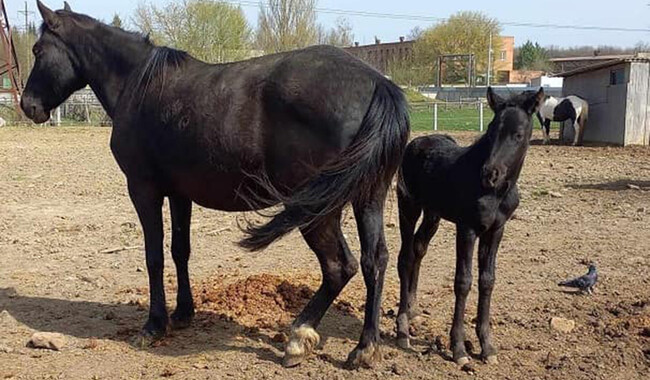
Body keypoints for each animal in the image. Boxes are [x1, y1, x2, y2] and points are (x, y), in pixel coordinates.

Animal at [22, 0, 408, 368]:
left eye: (38, 49)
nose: (28, 105)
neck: (139, 84)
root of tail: (378, 83)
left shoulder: (143, 190)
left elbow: (153, 256)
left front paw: (154, 325)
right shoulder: (179, 194)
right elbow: (180, 250)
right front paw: (182, 313)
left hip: (317, 209)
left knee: (339, 266)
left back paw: (299, 337)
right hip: (367, 199)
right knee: (374, 260)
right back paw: (365, 347)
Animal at [394, 87, 540, 366]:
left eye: (518, 134)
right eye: (492, 130)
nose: (490, 174)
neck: (496, 194)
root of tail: (417, 142)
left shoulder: (495, 230)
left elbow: (487, 280)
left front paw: (487, 347)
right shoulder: (467, 228)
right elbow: (463, 281)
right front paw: (459, 348)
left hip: (433, 214)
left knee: (418, 248)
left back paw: (413, 310)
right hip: (408, 206)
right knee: (405, 257)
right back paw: (403, 329)